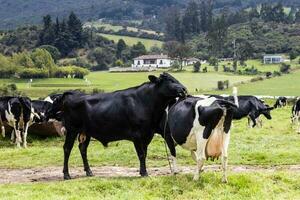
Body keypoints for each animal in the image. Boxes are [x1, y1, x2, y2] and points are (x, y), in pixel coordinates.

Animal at [45, 72, 188, 179]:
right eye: (169, 80)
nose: (184, 89)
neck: (146, 102)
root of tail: (71, 93)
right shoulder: (137, 134)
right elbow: (141, 154)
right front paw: (144, 173)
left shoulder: (148, 134)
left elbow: (144, 154)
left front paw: (142, 171)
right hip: (72, 129)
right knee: (67, 149)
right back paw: (66, 175)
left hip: (86, 131)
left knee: (82, 148)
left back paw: (89, 172)